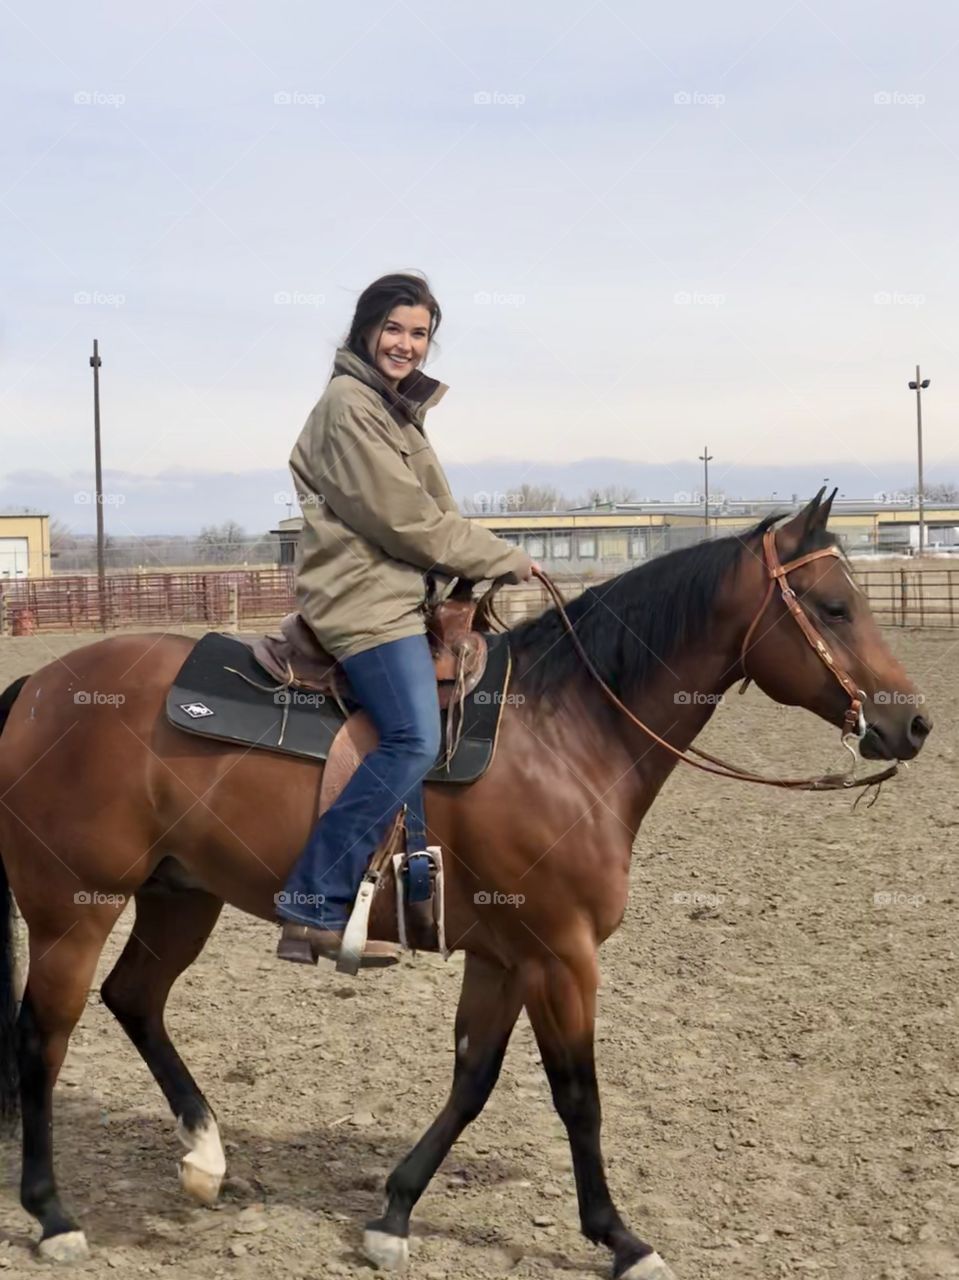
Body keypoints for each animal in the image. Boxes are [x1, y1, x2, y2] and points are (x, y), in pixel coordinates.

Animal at [0, 491, 932, 1280]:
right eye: (833, 606)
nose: (913, 723)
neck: (566, 732)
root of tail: (40, 687)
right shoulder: (562, 956)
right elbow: (577, 1095)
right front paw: (620, 1238)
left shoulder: (504, 957)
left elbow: (473, 1078)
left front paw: (394, 1213)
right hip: (72, 913)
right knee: (44, 1038)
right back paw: (53, 1215)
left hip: (178, 896)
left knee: (134, 999)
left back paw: (204, 1156)